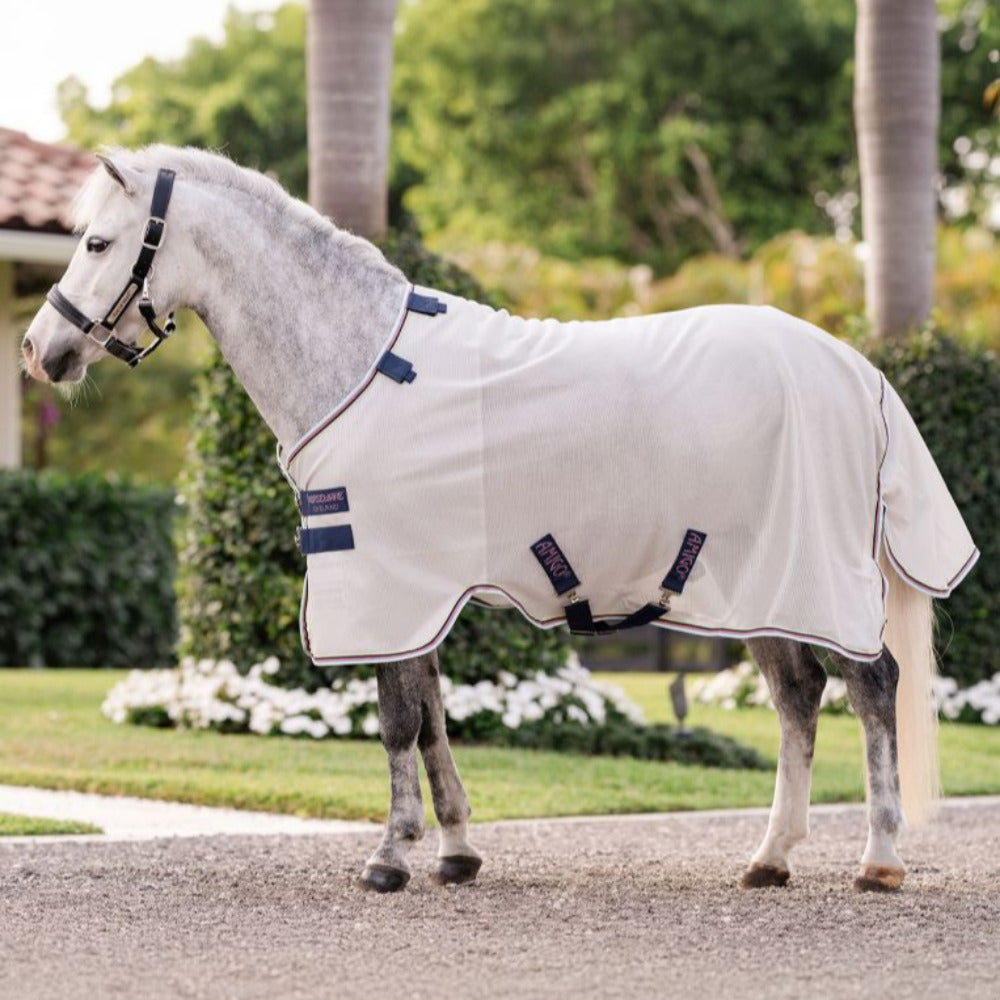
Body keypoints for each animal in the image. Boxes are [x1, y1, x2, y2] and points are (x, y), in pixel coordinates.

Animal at [22, 147, 977, 894]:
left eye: (98, 242)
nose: (40, 350)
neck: (361, 361)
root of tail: (857, 369)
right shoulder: (417, 593)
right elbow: (433, 715)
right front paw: (454, 851)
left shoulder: (387, 585)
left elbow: (398, 721)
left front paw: (389, 857)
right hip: (765, 586)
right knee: (798, 699)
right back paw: (770, 858)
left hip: (814, 578)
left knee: (873, 687)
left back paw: (879, 858)